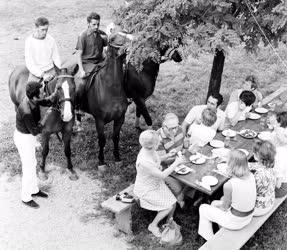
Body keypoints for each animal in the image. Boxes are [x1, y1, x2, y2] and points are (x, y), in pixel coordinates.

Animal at [77, 32, 130, 166]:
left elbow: (115, 138)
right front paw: (101, 161)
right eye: (114, 38)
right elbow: (102, 140)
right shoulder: (99, 120)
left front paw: (117, 157)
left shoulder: (120, 118)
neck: (111, 88)